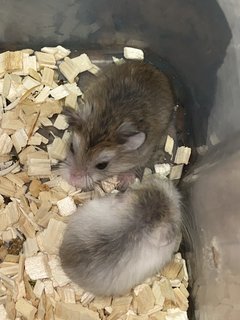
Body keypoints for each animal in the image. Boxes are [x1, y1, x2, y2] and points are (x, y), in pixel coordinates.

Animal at [61, 60, 175, 190]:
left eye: (102, 165)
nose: (72, 180)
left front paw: (123, 181)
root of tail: (150, 66)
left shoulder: (145, 154)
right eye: (71, 147)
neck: (108, 123)